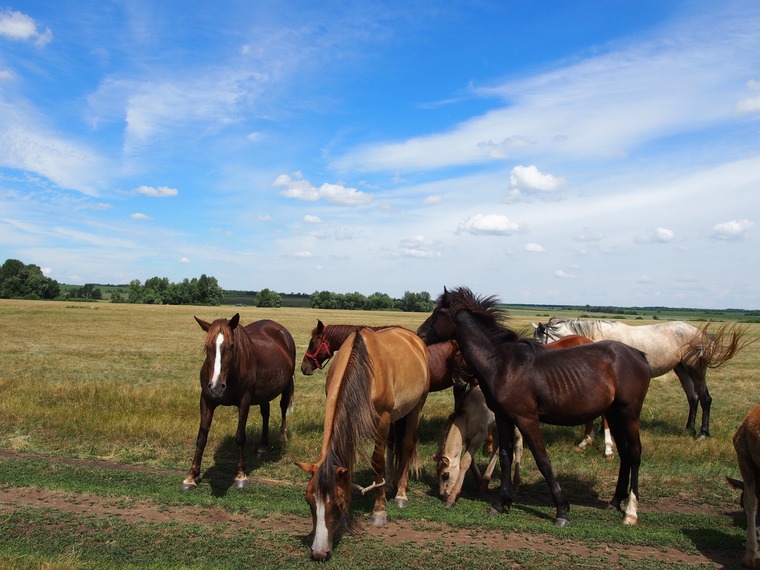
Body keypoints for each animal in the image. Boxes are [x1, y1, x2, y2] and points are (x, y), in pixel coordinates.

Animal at [180, 312, 296, 490]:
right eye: (207, 347)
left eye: (232, 346)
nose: (216, 387)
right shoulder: (206, 400)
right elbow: (201, 437)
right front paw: (191, 476)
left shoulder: (244, 401)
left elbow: (240, 436)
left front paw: (241, 474)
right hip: (264, 393)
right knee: (265, 413)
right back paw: (263, 447)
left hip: (287, 384)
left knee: (283, 408)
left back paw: (282, 437)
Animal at [296, 324, 430, 560]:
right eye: (309, 501)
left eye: (337, 503)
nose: (319, 553)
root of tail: (413, 338)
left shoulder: (382, 419)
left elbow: (377, 461)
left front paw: (379, 511)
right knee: (392, 445)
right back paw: (388, 484)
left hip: (415, 407)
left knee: (406, 445)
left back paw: (401, 494)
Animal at [416, 286, 652, 524]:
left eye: (438, 313)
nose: (419, 334)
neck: (502, 364)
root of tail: (638, 355)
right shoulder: (503, 417)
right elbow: (505, 456)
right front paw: (500, 503)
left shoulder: (527, 419)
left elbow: (542, 460)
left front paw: (562, 510)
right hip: (614, 414)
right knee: (624, 454)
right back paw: (615, 502)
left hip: (629, 414)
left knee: (634, 453)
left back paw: (630, 511)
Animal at [536, 316, 748, 434]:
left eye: (539, 340)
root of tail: (700, 334)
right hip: (681, 369)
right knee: (693, 398)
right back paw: (689, 428)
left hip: (695, 369)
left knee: (705, 398)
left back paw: (703, 432)